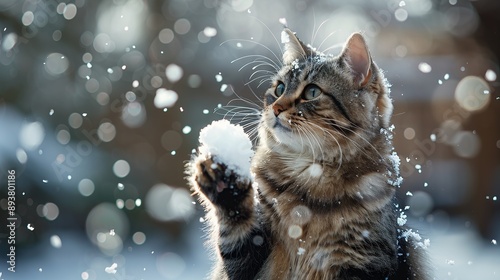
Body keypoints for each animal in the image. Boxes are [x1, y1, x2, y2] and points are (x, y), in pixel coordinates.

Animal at [186, 28, 428, 280]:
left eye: (312, 92)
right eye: (279, 89)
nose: (275, 108)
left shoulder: (366, 261)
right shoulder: (245, 262)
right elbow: (236, 232)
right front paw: (224, 184)